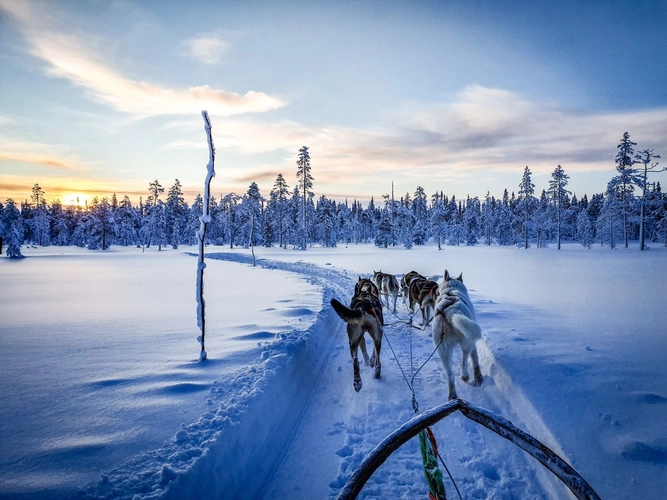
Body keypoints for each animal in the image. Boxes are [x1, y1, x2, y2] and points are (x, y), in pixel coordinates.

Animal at [434, 270, 486, 398]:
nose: (436, 289)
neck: (451, 289)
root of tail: (449, 311)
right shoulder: (472, 343)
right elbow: (475, 361)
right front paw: (478, 377)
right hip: (466, 344)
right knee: (463, 362)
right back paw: (465, 376)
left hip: (444, 352)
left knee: (450, 375)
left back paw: (453, 395)